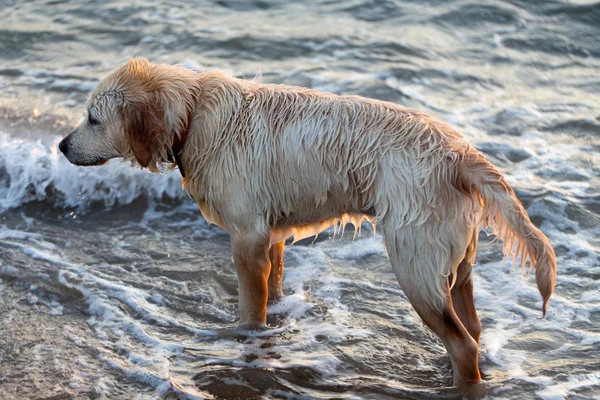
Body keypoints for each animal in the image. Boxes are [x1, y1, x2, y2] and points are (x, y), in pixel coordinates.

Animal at [58, 59, 556, 388]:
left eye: (93, 118)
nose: (61, 146)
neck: (195, 116)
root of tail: (460, 153)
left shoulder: (247, 238)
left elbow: (250, 312)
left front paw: (246, 341)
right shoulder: (270, 236)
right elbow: (275, 288)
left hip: (414, 264)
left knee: (463, 344)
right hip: (457, 264)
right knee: (472, 330)